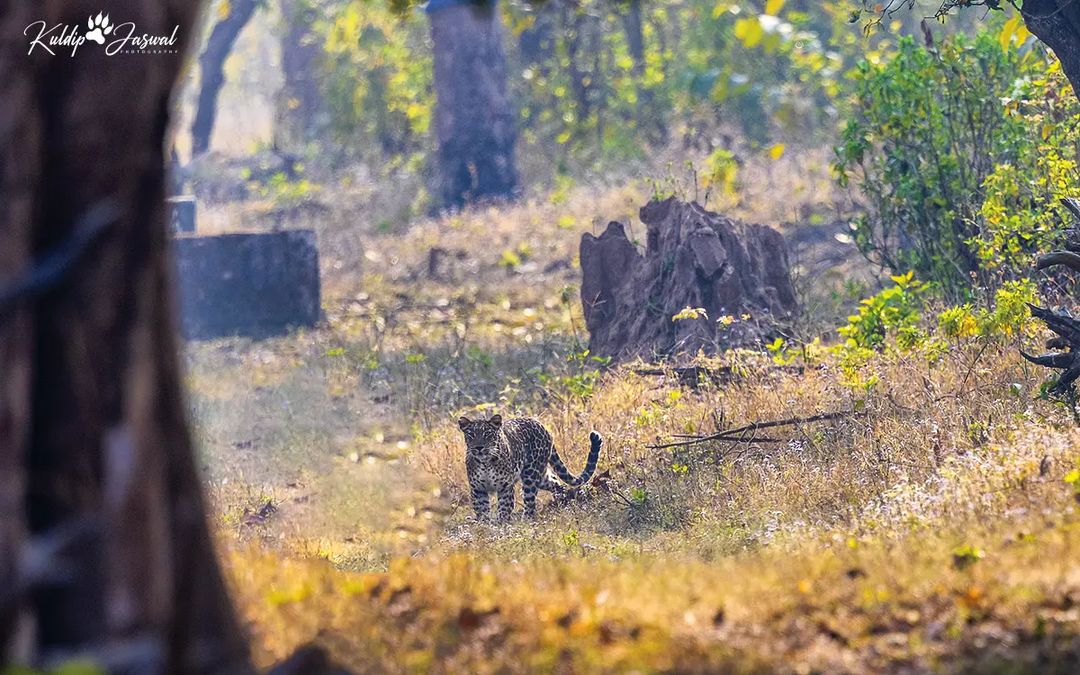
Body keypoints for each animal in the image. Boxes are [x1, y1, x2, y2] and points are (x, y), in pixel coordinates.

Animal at [457, 414, 602, 522]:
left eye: (487, 434)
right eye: (471, 435)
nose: (479, 447)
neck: (485, 463)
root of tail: (541, 425)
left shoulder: (505, 487)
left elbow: (504, 509)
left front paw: (502, 527)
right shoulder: (478, 490)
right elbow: (482, 512)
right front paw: (485, 528)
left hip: (531, 475)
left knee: (530, 503)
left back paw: (526, 521)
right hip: (541, 476)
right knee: (555, 482)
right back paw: (563, 500)